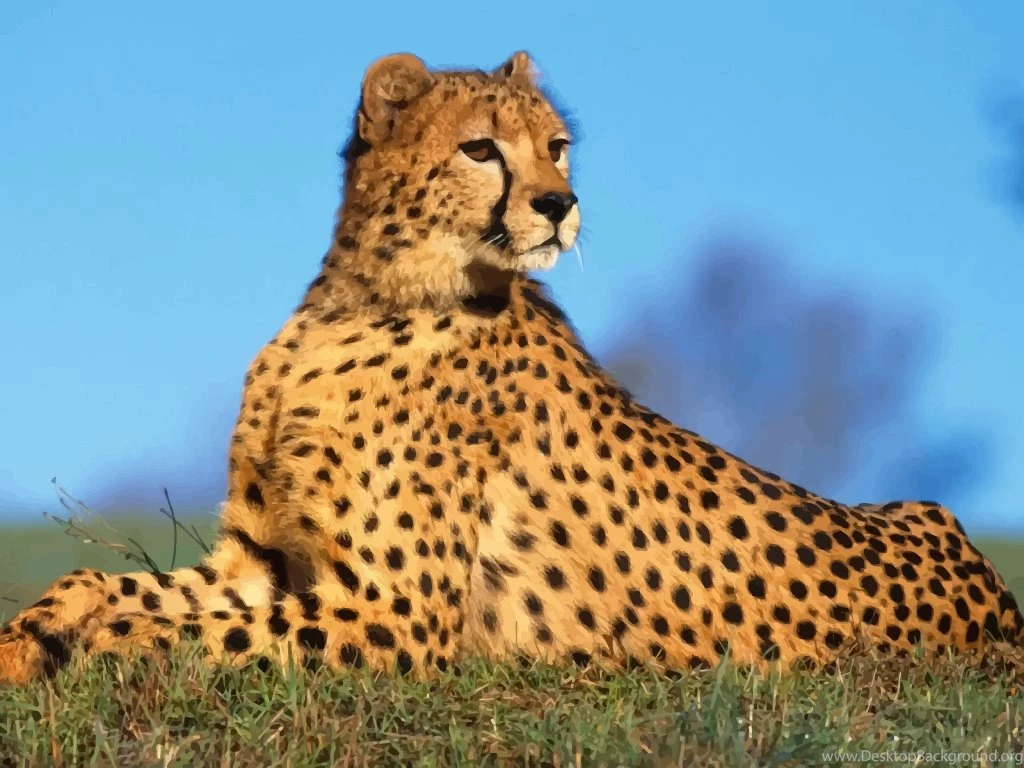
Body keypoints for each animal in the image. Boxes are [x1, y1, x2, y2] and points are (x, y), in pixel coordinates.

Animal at [1, 50, 1021, 687]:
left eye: (557, 148)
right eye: (481, 147)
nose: (560, 205)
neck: (365, 299)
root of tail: (994, 599)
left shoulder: (395, 612)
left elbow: (180, 626)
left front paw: (103, 647)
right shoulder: (262, 561)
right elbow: (107, 583)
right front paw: (30, 639)